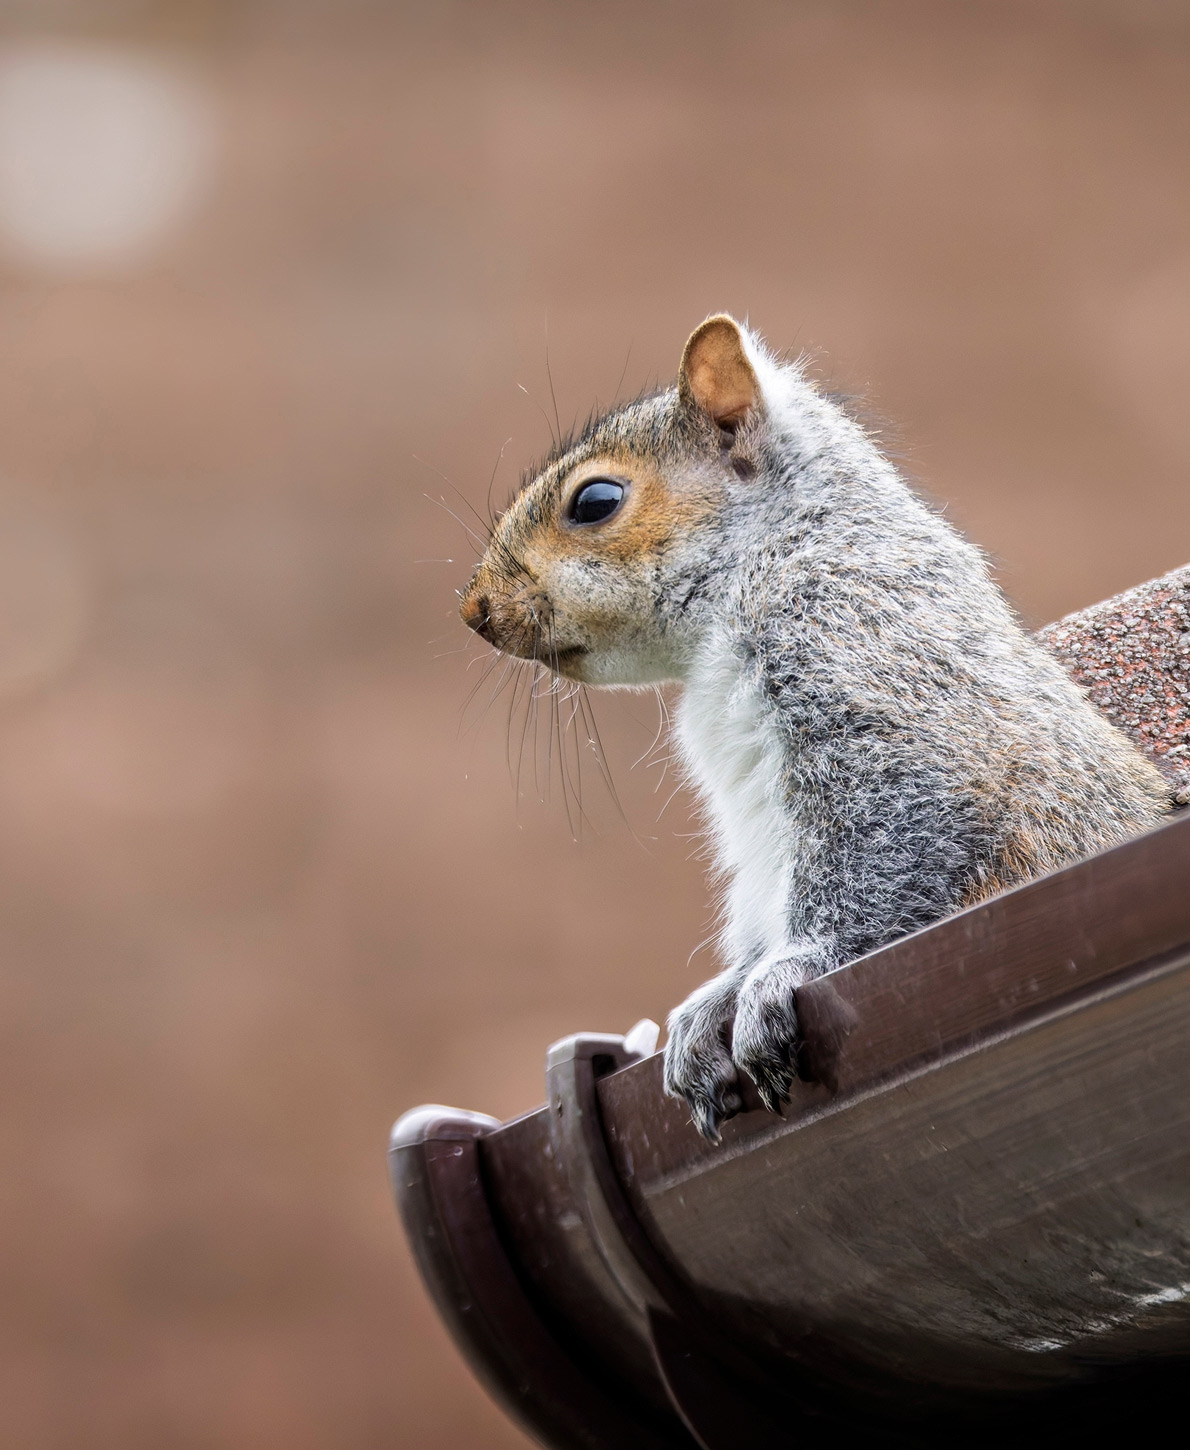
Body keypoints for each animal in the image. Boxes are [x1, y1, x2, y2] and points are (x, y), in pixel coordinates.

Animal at [458, 314, 1171, 1140]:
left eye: (596, 501)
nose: (474, 611)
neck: (773, 554)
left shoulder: (867, 676)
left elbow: (882, 856)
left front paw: (789, 971)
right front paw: (715, 1001)